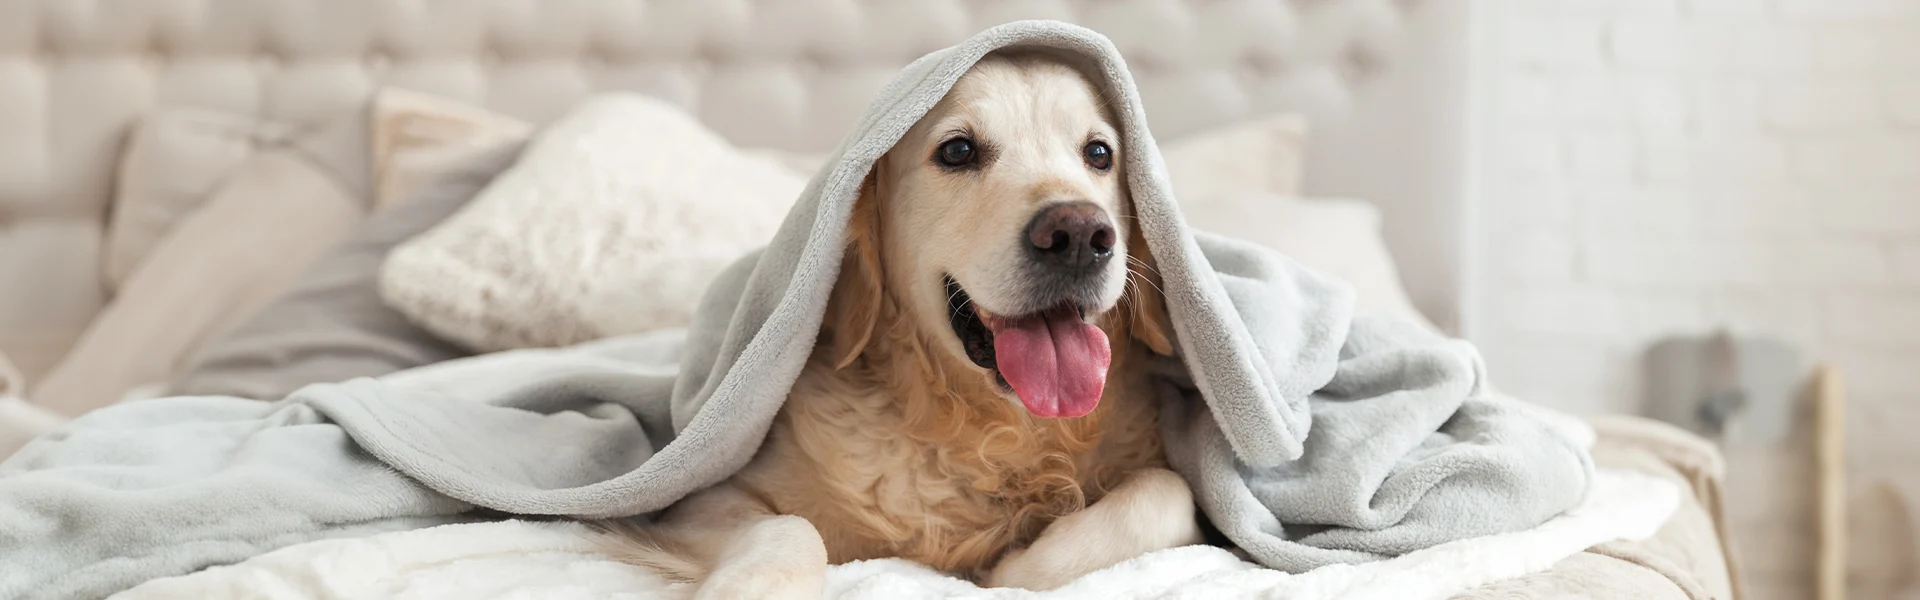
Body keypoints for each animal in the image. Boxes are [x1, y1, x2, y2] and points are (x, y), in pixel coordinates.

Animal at [602, 53, 1198, 596]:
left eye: (1099, 153)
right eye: (957, 150)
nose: (1077, 235)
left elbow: (1169, 492)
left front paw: (1016, 565)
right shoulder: (696, 502)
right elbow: (789, 526)